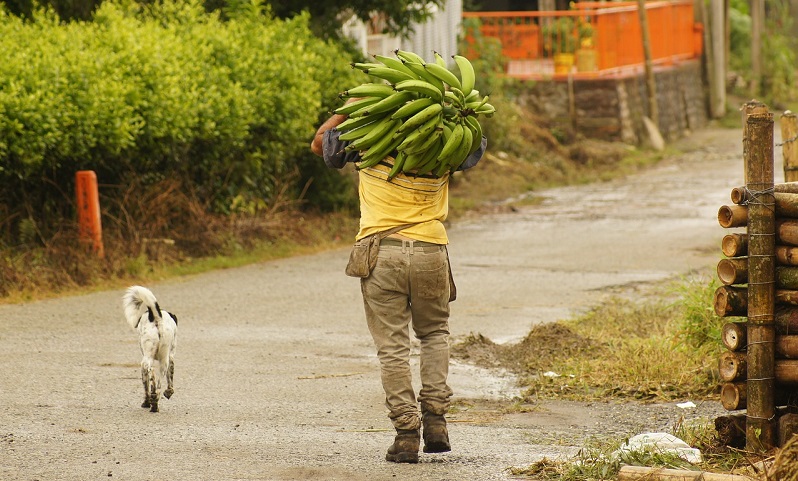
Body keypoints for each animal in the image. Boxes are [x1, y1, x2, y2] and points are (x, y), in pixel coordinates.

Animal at [122, 284, 179, 412]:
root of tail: (157, 317)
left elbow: (145, 387)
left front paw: (146, 402)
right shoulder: (170, 358)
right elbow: (169, 382)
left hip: (147, 360)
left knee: (151, 372)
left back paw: (153, 400)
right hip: (164, 361)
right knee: (158, 384)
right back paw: (155, 402)